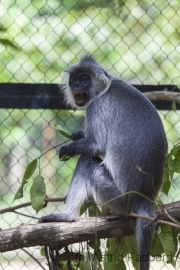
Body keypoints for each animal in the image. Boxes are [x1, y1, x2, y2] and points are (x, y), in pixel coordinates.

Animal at [39, 54, 167, 270]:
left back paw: (68, 217)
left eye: (84, 79)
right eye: (74, 79)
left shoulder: (96, 106)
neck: (107, 88)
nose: (76, 85)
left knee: (86, 163)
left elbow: (96, 147)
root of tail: (144, 198)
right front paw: (76, 136)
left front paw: (67, 149)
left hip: (117, 197)